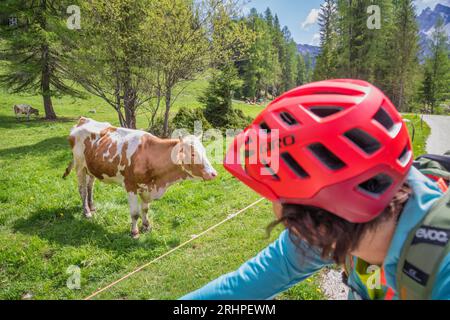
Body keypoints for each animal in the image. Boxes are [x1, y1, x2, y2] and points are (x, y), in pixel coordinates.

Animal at [63, 117, 218, 238]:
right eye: (192, 154)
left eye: (204, 151)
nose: (213, 173)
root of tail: (83, 120)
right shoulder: (130, 186)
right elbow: (135, 213)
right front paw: (135, 232)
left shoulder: (146, 188)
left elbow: (145, 209)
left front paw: (146, 226)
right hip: (80, 166)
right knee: (82, 189)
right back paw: (87, 212)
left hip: (92, 168)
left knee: (90, 187)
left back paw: (92, 207)